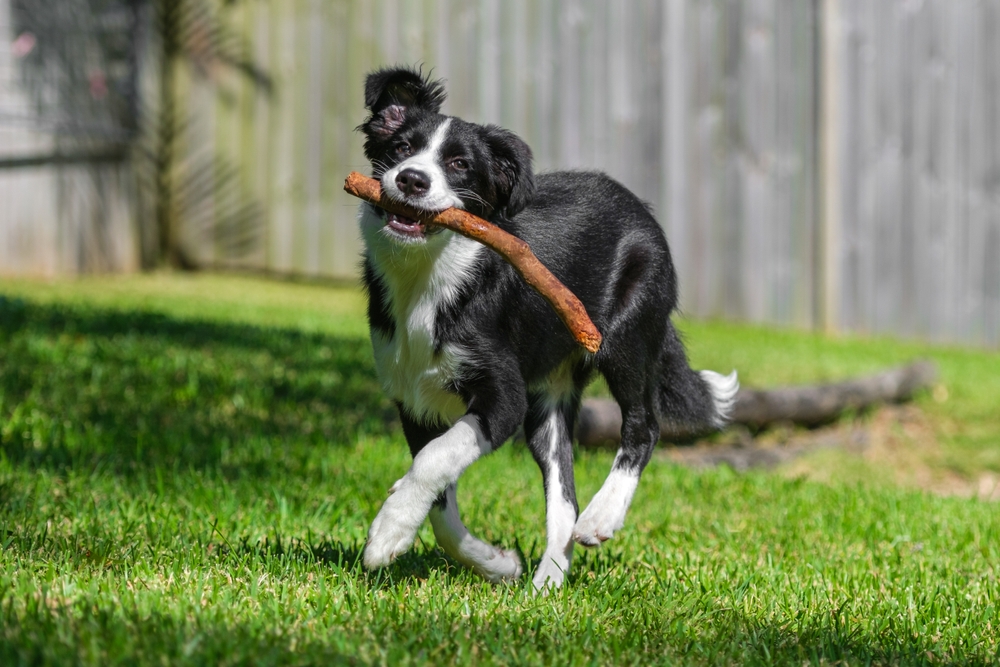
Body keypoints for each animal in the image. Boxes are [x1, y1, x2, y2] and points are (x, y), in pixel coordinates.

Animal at [356, 66, 740, 588]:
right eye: (399, 147)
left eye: (459, 164)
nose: (411, 179)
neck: (429, 277)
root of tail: (638, 206)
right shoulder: (415, 399)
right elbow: (438, 496)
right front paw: (494, 562)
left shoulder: (504, 397)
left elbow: (436, 457)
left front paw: (387, 533)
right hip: (549, 402)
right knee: (563, 490)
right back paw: (547, 583)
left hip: (625, 333)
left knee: (644, 424)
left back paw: (602, 517)